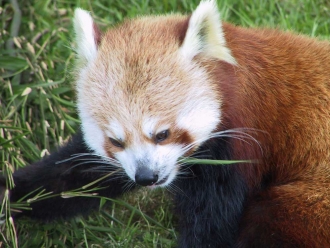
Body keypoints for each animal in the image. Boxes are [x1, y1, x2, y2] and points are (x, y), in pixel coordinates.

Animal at [3, 0, 330, 247]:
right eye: (116, 141)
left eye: (162, 134)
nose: (146, 177)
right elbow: (71, 177)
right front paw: (11, 196)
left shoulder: (237, 148)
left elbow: (211, 225)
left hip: (310, 198)